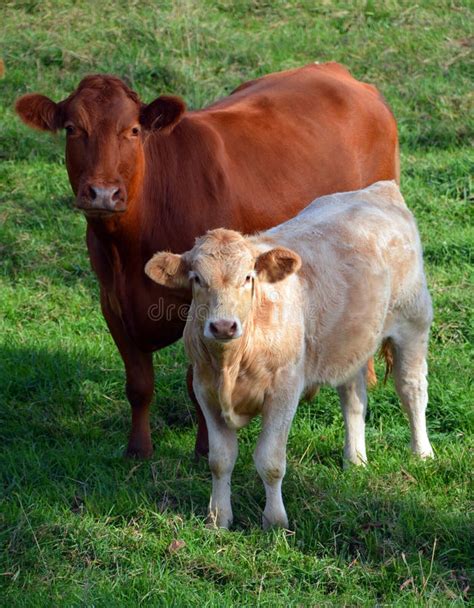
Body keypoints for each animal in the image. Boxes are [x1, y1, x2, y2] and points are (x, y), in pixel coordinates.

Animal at [15, 64, 400, 458]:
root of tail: (339, 72)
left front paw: (204, 448)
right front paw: (138, 449)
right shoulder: (112, 301)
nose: (103, 193)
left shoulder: (199, 306)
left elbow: (197, 386)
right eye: (72, 128)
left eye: (133, 130)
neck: (130, 246)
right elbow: (138, 384)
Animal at [146, 180, 436, 528]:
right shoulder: (205, 390)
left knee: (412, 390)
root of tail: (378, 190)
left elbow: (270, 461)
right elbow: (220, 460)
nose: (223, 326)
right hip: (350, 342)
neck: (231, 361)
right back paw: (355, 459)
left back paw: (422, 453)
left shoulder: (283, 390)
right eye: (197, 279)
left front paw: (275, 522)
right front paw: (218, 518)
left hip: (413, 321)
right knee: (354, 399)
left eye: (248, 277)